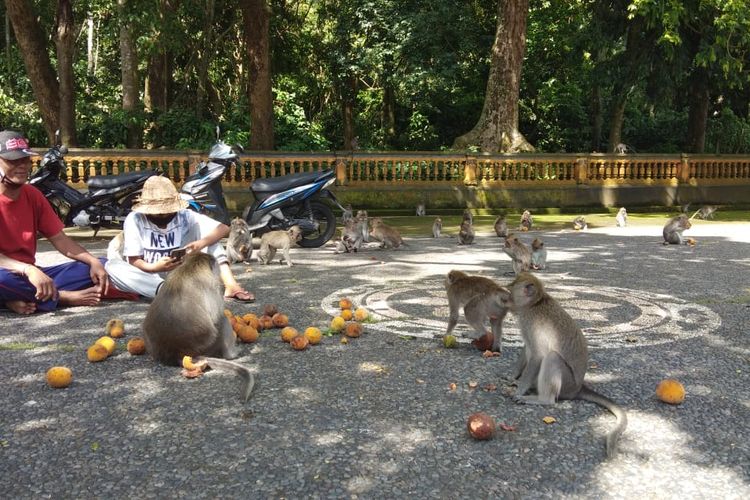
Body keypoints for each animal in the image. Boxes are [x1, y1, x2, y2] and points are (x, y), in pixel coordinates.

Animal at [142, 254, 258, 402]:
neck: (190, 266)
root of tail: (176, 352)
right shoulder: (212, 284)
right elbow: (217, 317)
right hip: (209, 345)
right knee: (222, 319)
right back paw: (231, 354)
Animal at [506, 274, 628, 458]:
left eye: (510, 291)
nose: (506, 299)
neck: (535, 304)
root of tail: (578, 388)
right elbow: (527, 348)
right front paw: (513, 376)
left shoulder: (530, 321)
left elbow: (538, 355)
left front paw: (519, 390)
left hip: (566, 384)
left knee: (552, 358)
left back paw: (542, 399)